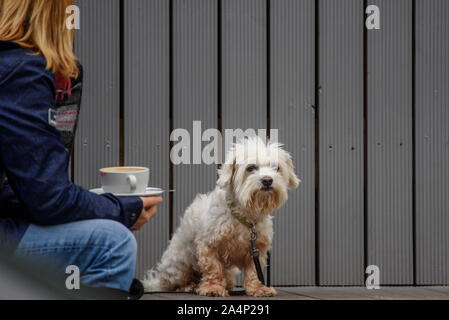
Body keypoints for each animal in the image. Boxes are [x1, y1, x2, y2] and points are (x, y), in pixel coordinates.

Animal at [142, 136, 300, 298]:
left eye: (276, 168)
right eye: (251, 168)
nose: (267, 180)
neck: (244, 215)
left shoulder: (257, 249)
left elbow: (254, 271)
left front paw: (257, 288)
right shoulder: (208, 246)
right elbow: (213, 268)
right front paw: (213, 288)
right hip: (179, 267)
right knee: (172, 284)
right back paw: (188, 286)